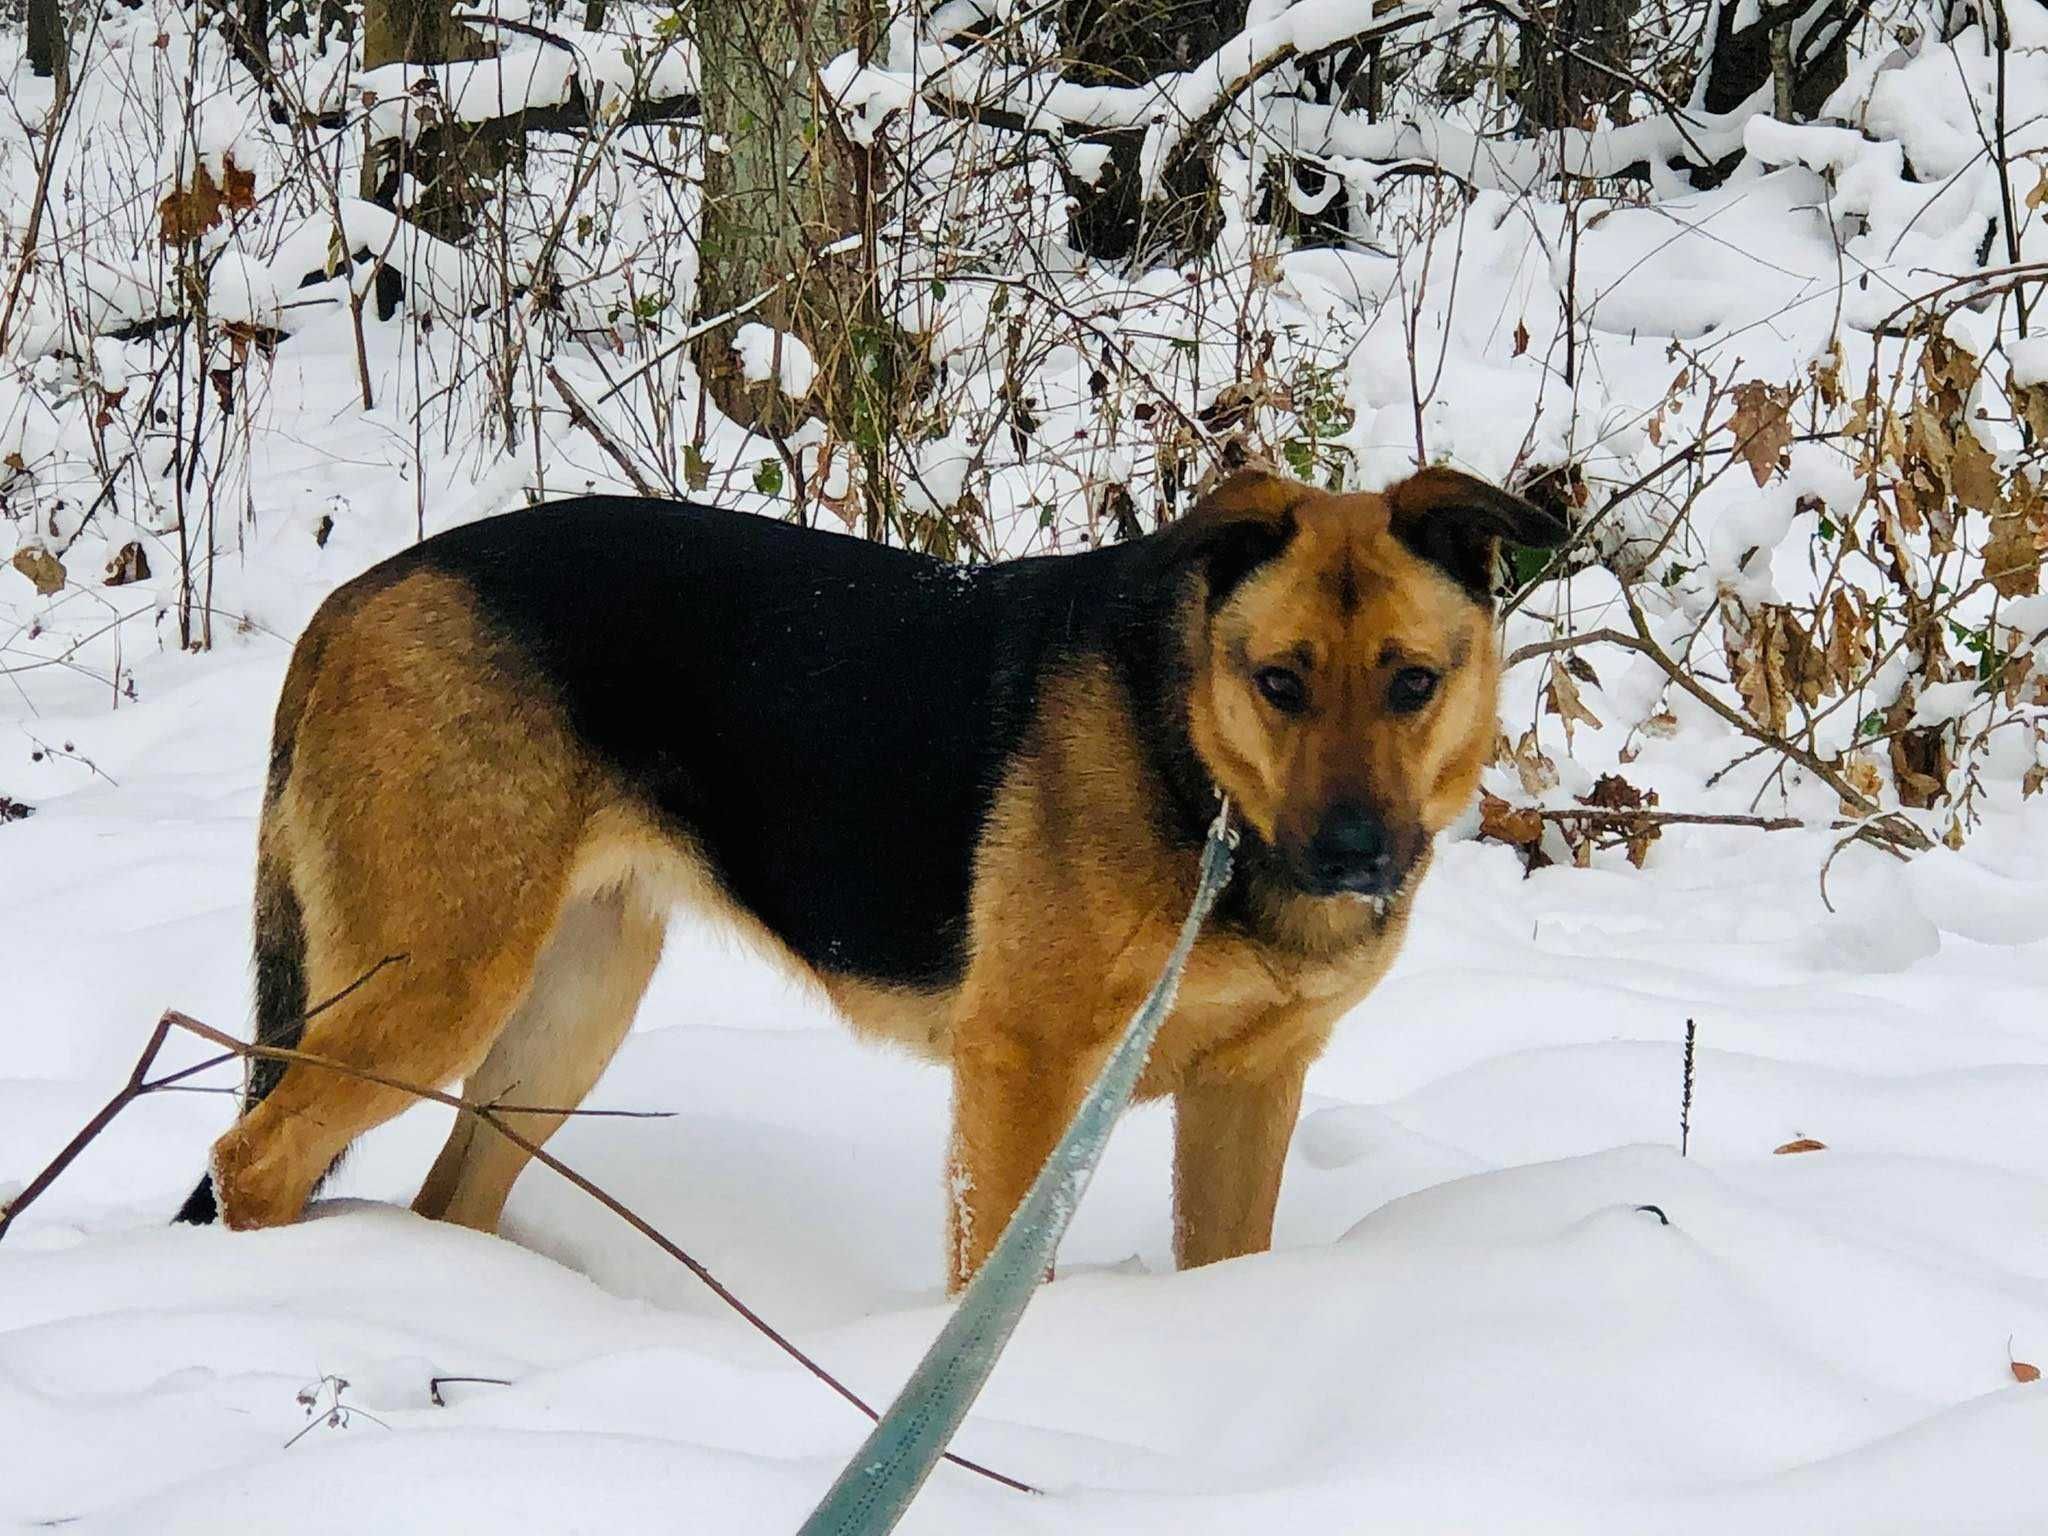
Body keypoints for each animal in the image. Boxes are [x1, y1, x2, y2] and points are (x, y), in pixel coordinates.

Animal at [176, 466, 1564, 1286]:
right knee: (254, 1156)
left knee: (440, 1192)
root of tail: (356, 595)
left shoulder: (1249, 1089)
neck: (1201, 774)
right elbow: (995, 1271)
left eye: (1412, 683)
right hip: (439, 987)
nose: (1353, 857)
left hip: (562, 1016)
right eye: (1277, 681)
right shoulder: (1023, 1070)